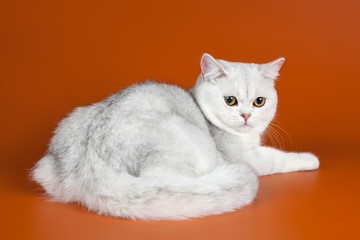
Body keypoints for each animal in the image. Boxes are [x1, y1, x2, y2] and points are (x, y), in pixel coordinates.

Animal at [30, 53, 318, 219]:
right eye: (230, 100)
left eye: (260, 102)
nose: (246, 116)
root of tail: (91, 165)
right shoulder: (248, 157)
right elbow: (278, 158)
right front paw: (310, 159)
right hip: (186, 138)